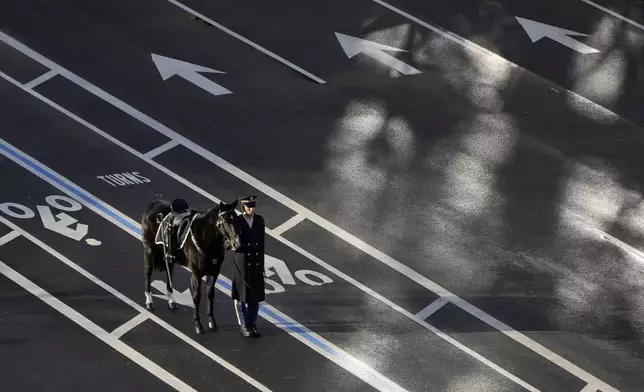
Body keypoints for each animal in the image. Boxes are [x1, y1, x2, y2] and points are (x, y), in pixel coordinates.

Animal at [142, 199, 240, 334]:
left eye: (236, 219)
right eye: (225, 221)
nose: (236, 243)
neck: (205, 237)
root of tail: (153, 204)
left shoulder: (214, 272)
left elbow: (210, 295)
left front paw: (212, 321)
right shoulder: (196, 273)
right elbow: (196, 297)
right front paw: (198, 324)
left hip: (168, 256)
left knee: (169, 272)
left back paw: (171, 300)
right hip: (149, 250)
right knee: (148, 272)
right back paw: (149, 301)